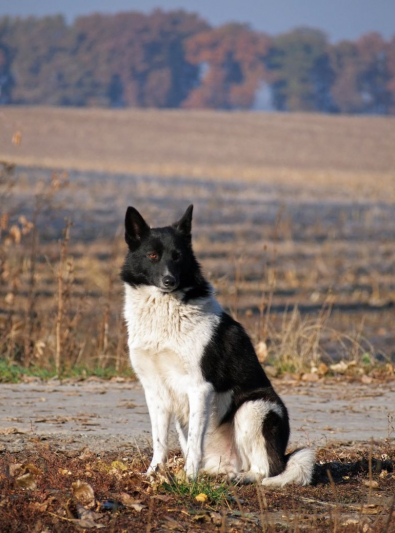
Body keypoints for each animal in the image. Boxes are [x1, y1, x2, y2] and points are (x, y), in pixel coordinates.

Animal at [121, 205, 316, 486]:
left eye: (178, 257)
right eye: (153, 255)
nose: (169, 281)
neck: (166, 310)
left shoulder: (199, 388)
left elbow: (194, 443)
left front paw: (188, 480)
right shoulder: (155, 391)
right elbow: (159, 442)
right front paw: (154, 474)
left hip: (254, 408)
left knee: (265, 470)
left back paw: (239, 477)